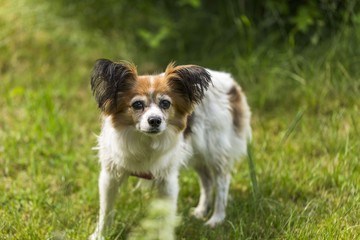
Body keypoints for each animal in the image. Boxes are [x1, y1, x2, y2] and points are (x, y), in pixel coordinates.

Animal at [89, 59, 250, 239]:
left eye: (165, 103)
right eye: (137, 104)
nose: (155, 120)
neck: (145, 140)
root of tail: (231, 84)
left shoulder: (167, 180)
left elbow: (165, 217)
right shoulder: (110, 175)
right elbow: (106, 210)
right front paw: (100, 235)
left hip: (215, 152)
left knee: (222, 183)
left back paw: (217, 218)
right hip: (197, 153)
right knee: (207, 181)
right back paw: (201, 211)